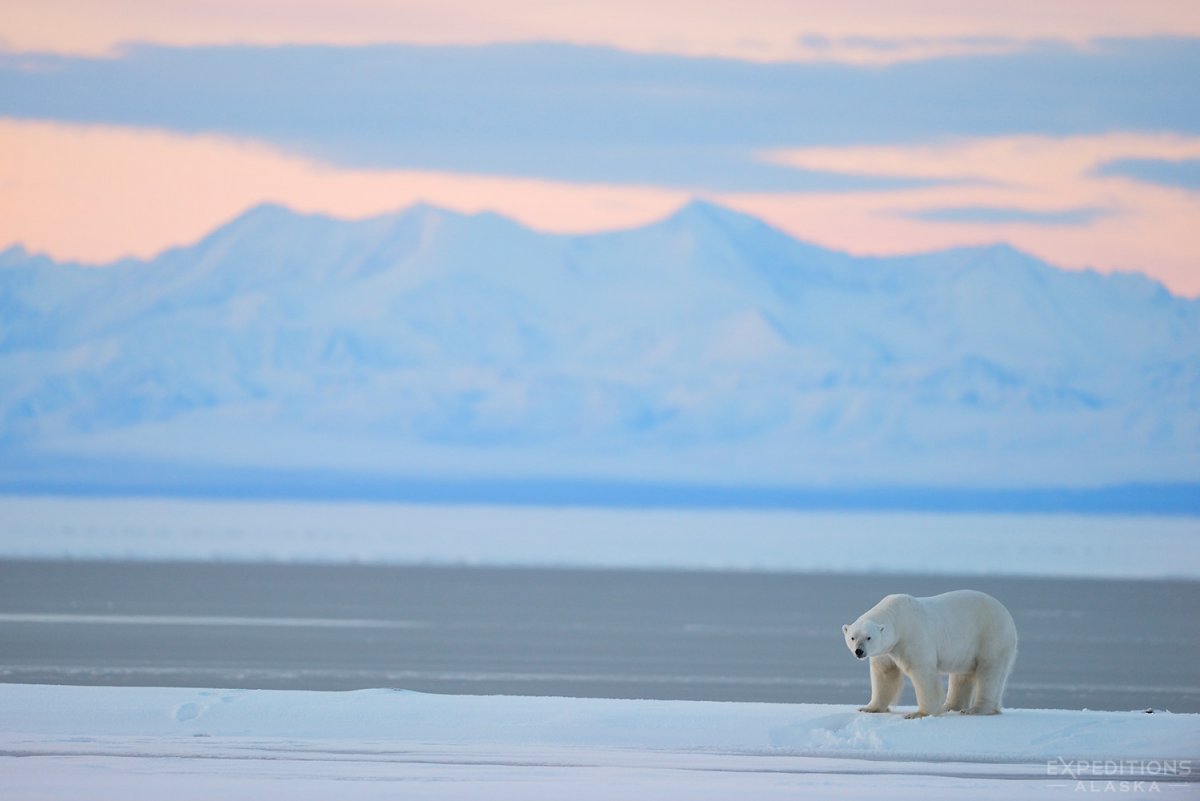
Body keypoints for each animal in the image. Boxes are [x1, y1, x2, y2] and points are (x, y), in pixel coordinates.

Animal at [844, 587, 1012, 719]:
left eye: (869, 637)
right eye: (853, 637)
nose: (859, 651)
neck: (898, 617)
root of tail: (1007, 614)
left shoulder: (913, 637)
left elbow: (922, 672)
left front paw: (919, 713)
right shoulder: (886, 650)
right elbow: (884, 674)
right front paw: (868, 708)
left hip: (991, 636)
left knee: (989, 672)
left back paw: (976, 709)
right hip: (967, 649)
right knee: (962, 675)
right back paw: (950, 706)